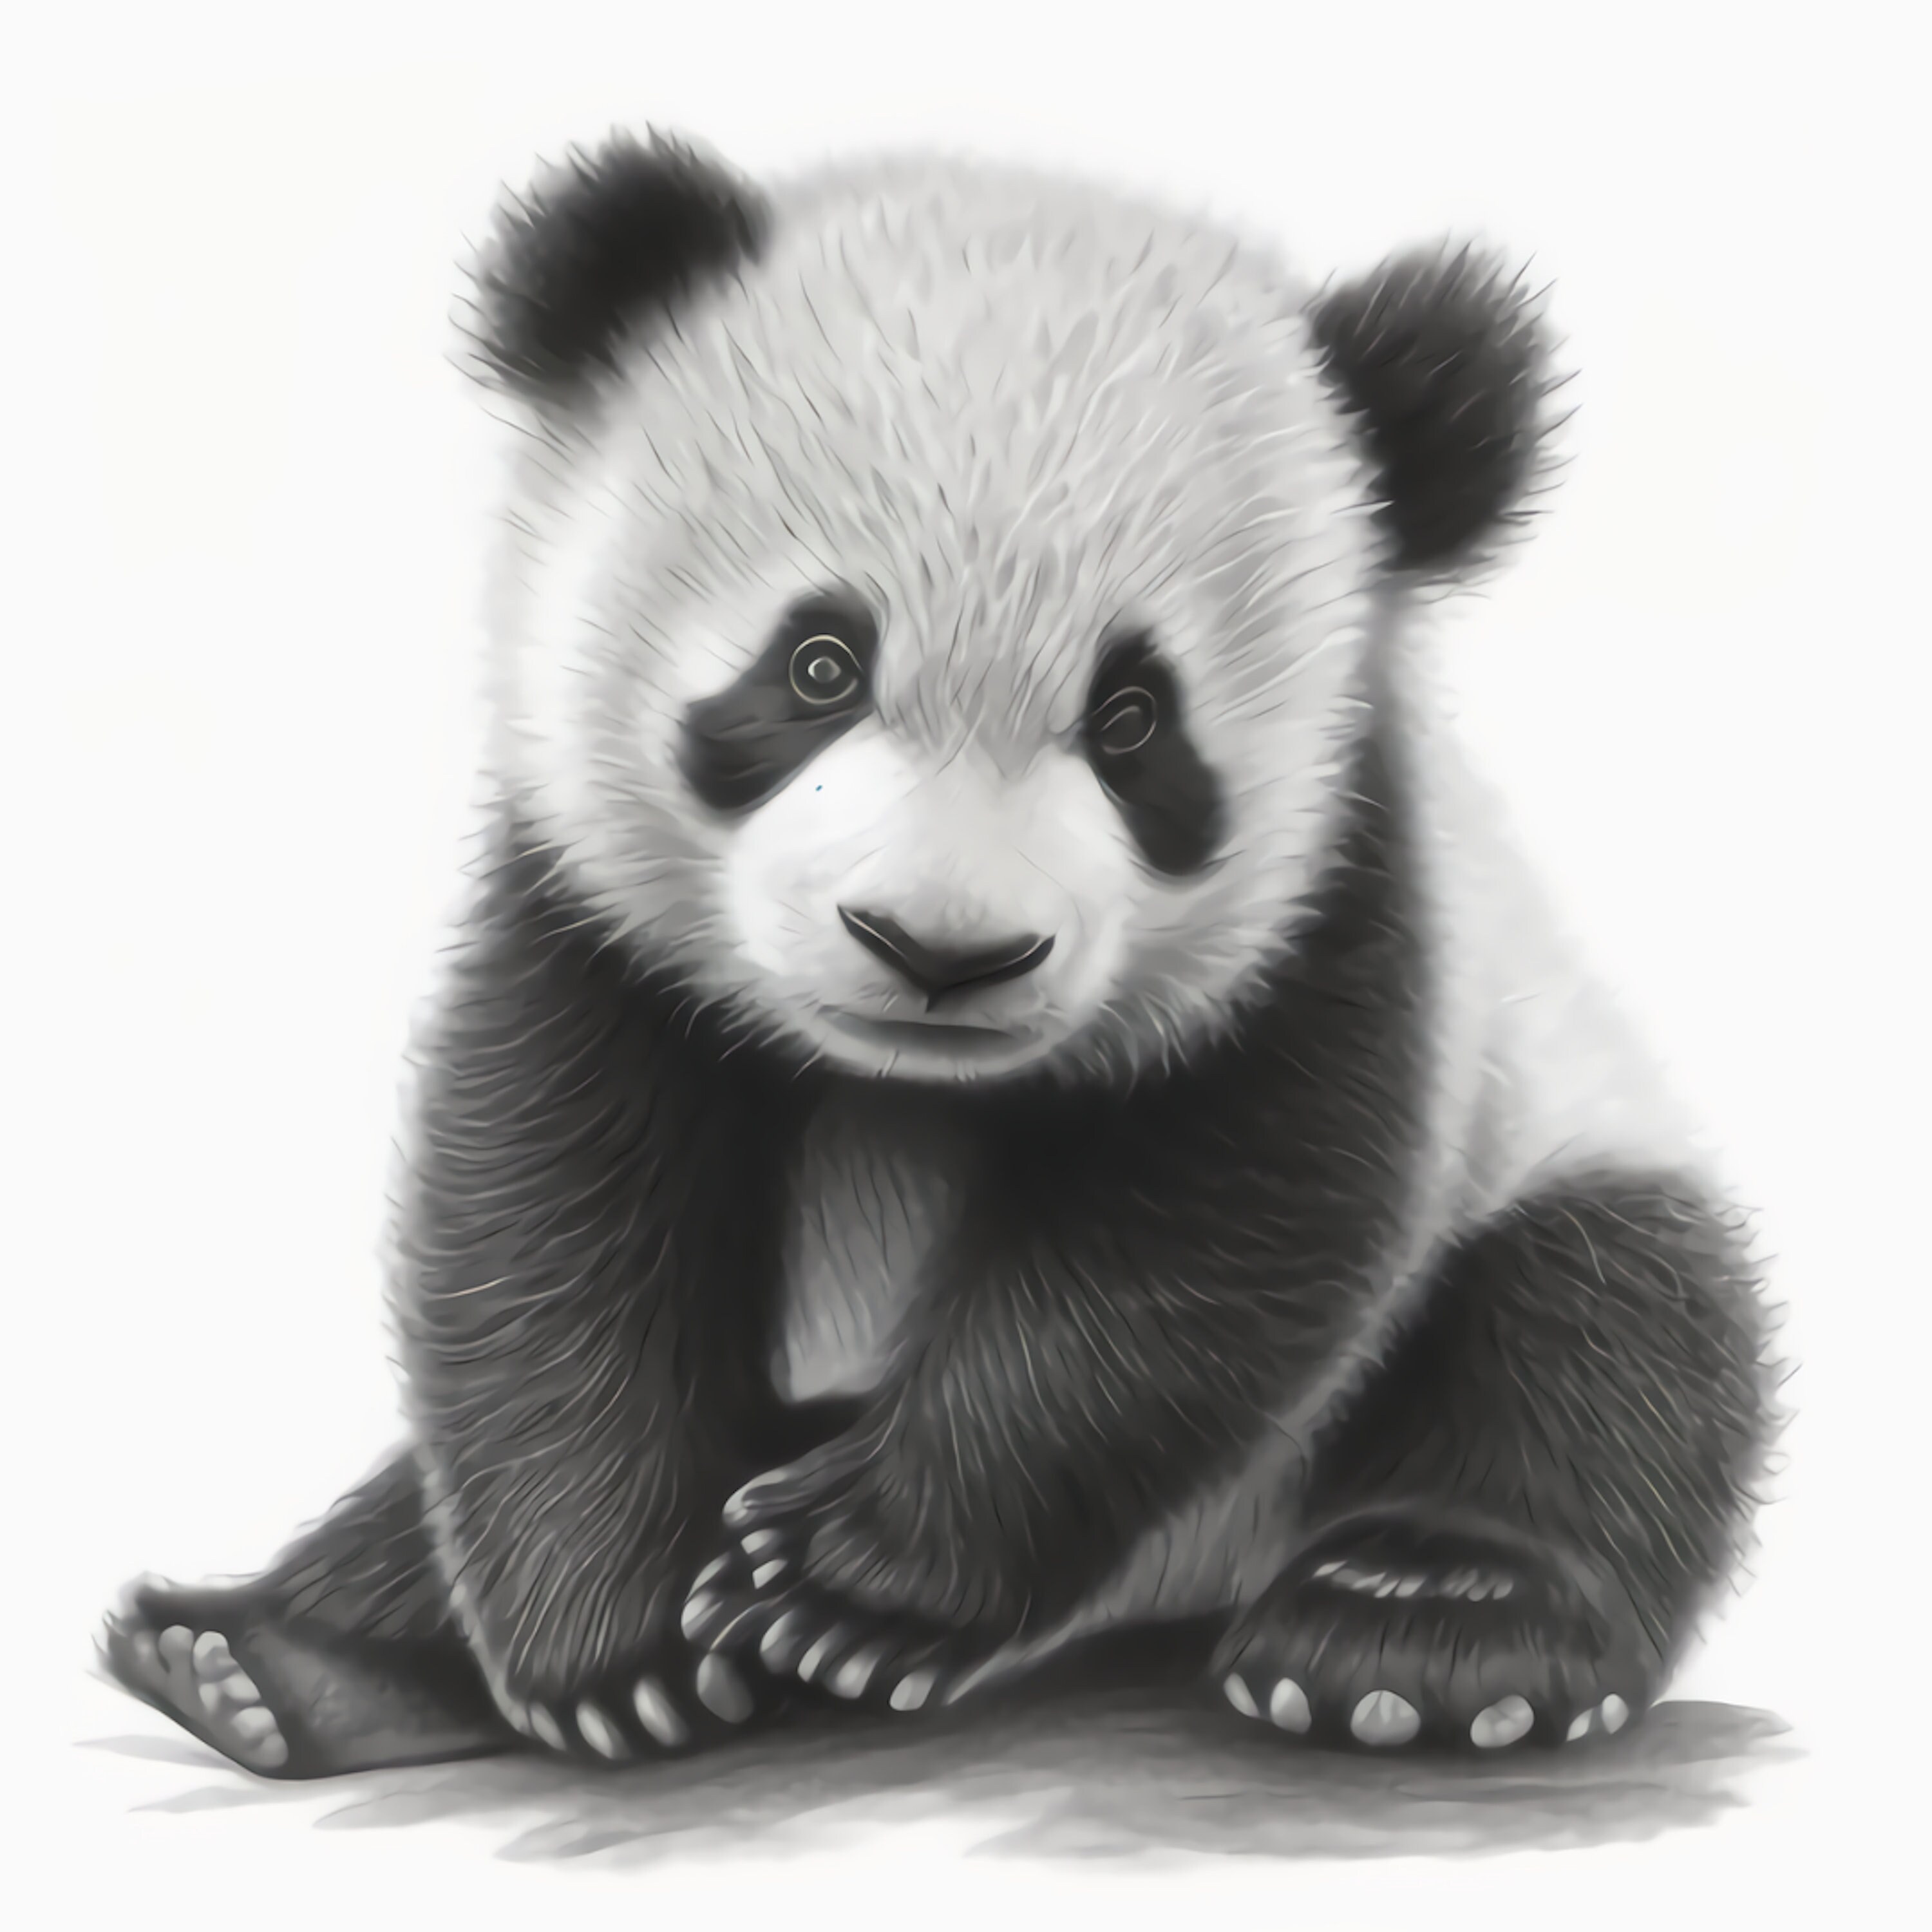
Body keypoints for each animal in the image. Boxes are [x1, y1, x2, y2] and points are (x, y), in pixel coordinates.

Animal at [99, 128, 1777, 1779]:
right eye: (815, 664)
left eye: (1134, 721)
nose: (939, 950)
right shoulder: (592, 901)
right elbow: (548, 1210)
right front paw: (619, 1645)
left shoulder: (1347, 904)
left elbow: (1209, 1228)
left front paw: (839, 1585)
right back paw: (268, 1664)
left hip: (1534, 1155)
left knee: (1595, 1337)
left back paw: (1408, 1638)